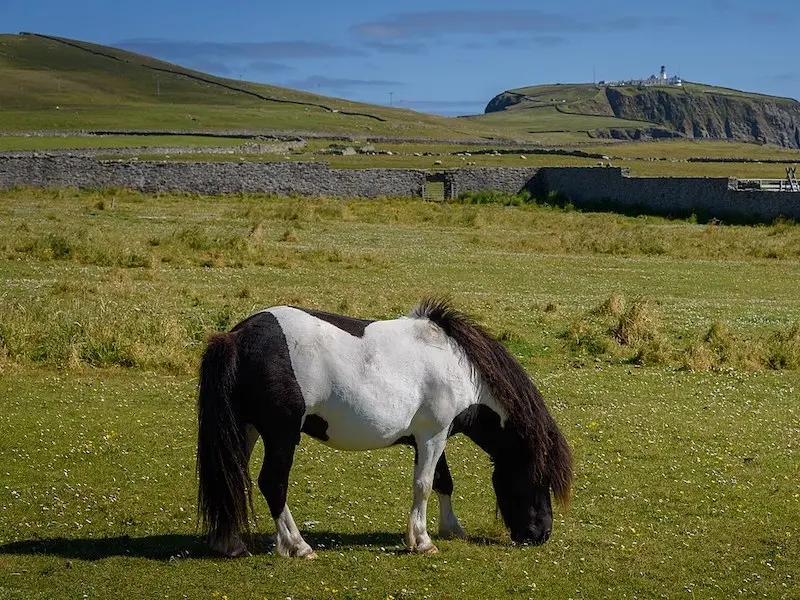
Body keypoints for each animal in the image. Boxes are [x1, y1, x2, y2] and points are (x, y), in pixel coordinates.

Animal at [200, 298, 576, 556]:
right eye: (538, 477)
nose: (542, 534)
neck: (459, 367)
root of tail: (237, 337)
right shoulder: (433, 436)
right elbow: (424, 485)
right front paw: (422, 541)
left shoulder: (431, 437)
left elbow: (443, 482)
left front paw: (451, 529)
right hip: (282, 435)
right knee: (272, 483)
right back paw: (298, 545)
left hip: (246, 429)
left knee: (232, 474)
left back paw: (231, 543)